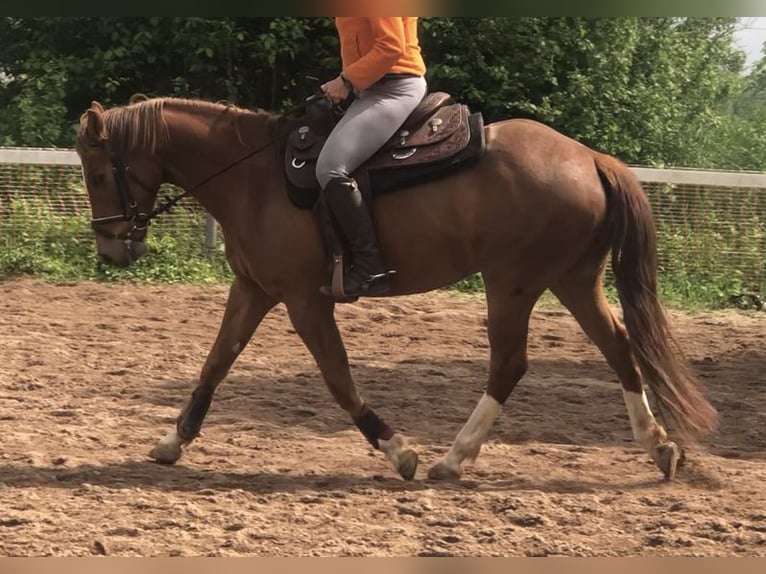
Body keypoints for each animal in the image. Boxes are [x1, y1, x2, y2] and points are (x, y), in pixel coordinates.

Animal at [75, 97, 716, 484]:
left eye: (100, 172)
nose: (112, 249)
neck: (252, 180)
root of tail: (589, 157)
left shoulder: (304, 300)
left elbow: (337, 378)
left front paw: (396, 448)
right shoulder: (253, 289)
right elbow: (215, 362)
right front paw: (172, 441)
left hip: (511, 285)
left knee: (509, 365)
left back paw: (453, 458)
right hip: (573, 279)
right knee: (619, 349)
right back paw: (659, 447)